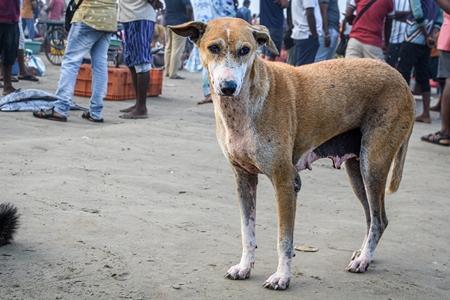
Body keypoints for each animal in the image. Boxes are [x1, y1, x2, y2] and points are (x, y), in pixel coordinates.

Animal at [169, 17, 414, 290]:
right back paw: (363, 254)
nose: (228, 87)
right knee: (372, 217)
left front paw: (282, 277)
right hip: (357, 171)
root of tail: (402, 80)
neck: (245, 105)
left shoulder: (285, 183)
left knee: (380, 219)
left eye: (245, 50)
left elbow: (284, 240)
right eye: (213, 48)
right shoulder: (243, 179)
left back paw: (363, 260)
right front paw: (244, 267)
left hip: (373, 166)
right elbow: (247, 231)